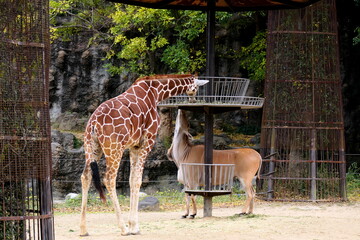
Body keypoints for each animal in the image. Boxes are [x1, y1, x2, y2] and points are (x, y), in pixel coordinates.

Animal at [80, 74, 207, 235]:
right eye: (196, 88)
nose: (194, 99)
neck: (156, 92)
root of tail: (93, 124)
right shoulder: (147, 141)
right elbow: (137, 180)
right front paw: (134, 227)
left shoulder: (133, 146)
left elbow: (131, 180)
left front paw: (133, 225)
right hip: (114, 148)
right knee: (109, 179)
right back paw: (123, 228)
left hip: (92, 147)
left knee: (85, 176)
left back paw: (83, 229)